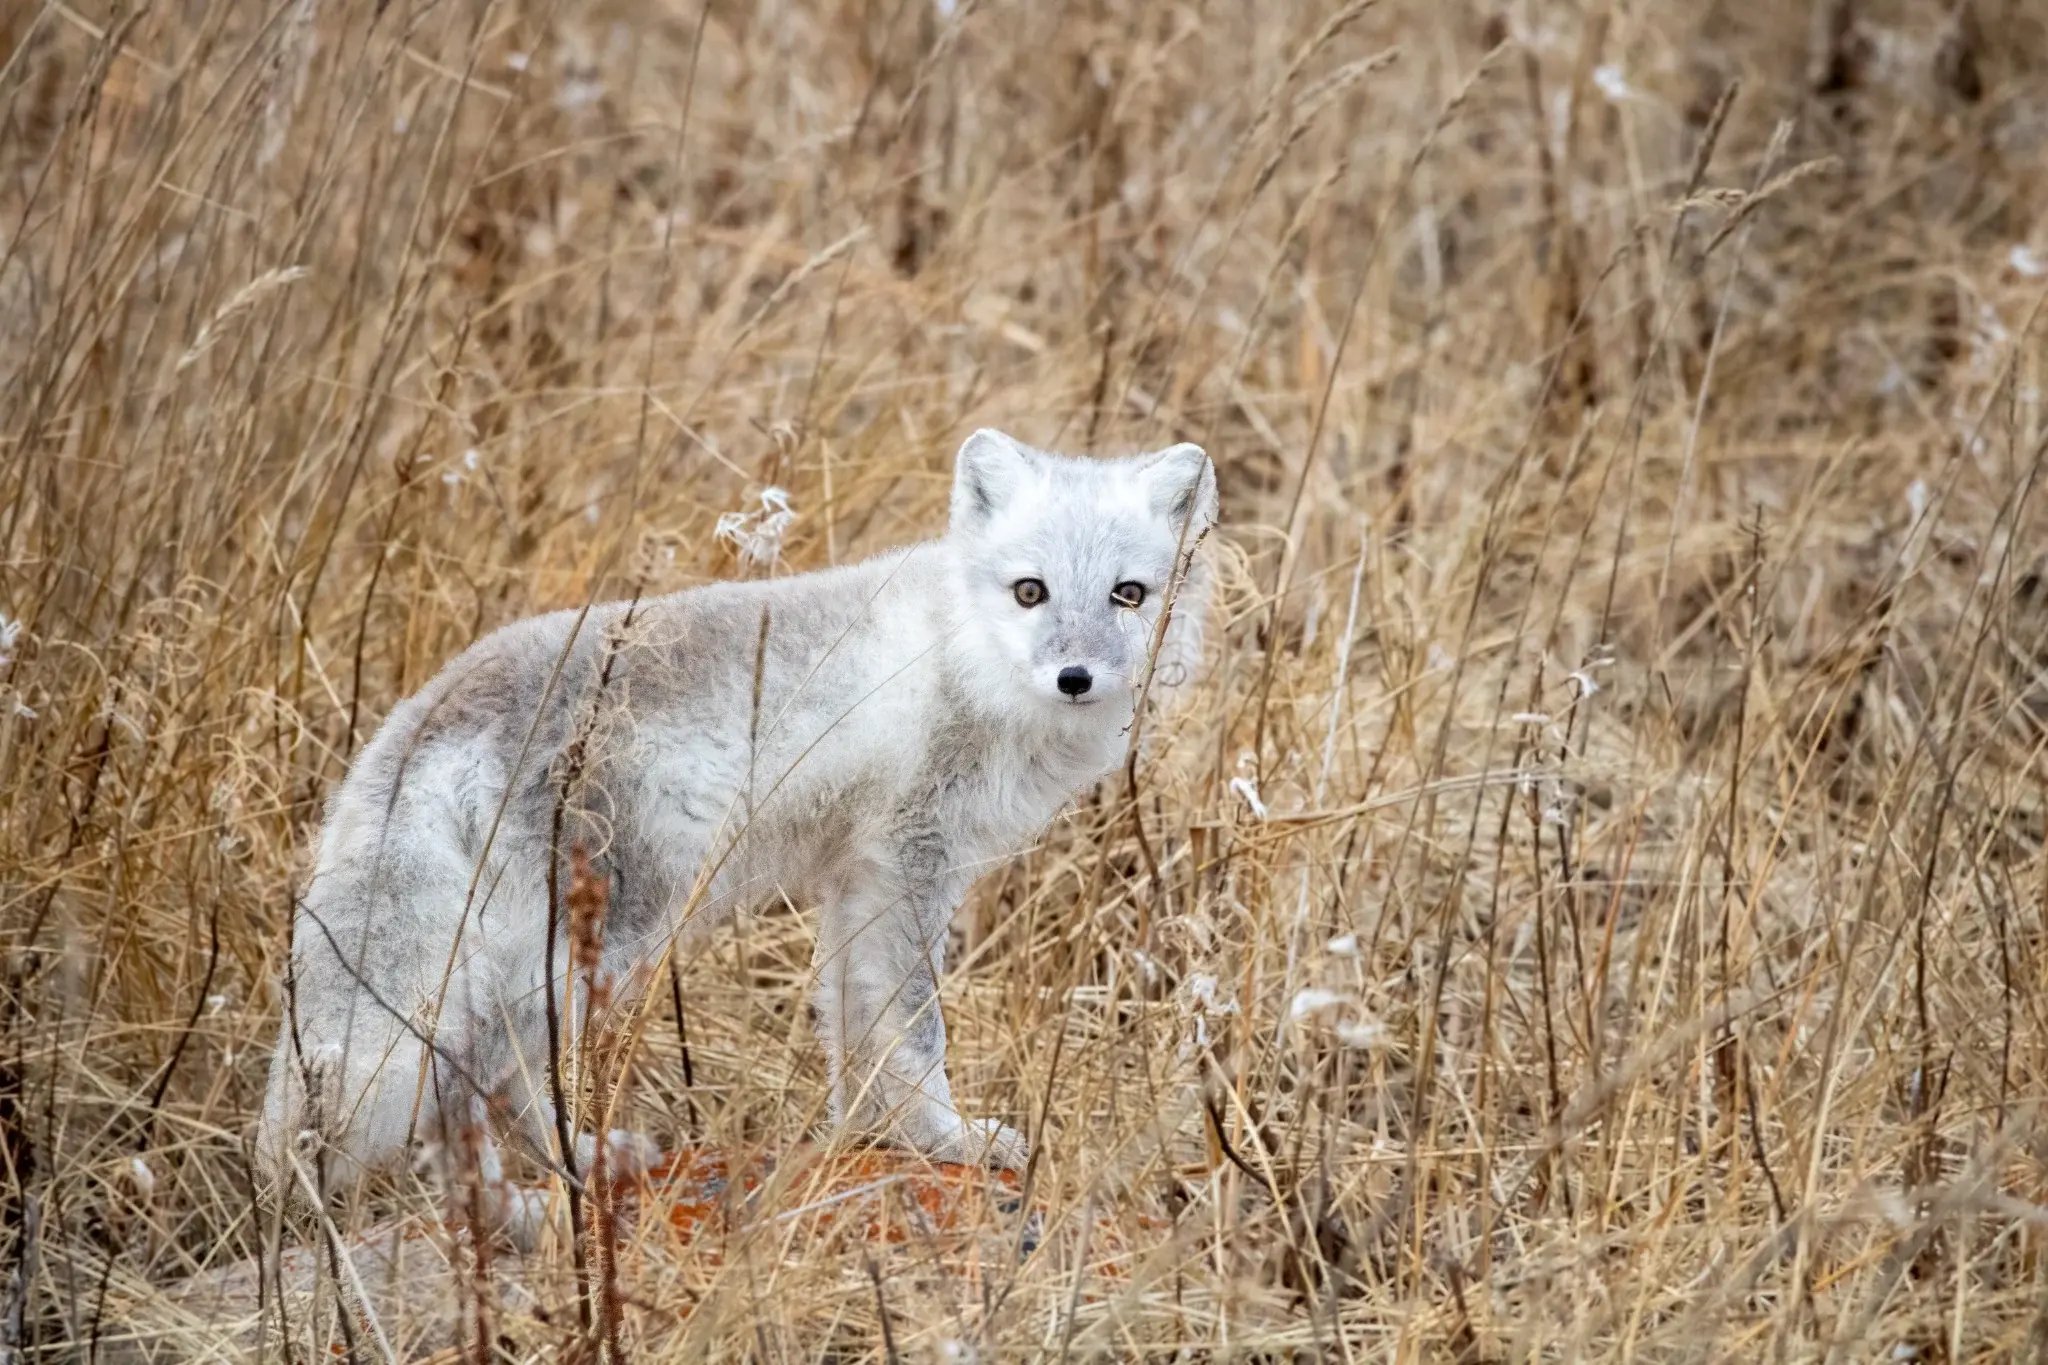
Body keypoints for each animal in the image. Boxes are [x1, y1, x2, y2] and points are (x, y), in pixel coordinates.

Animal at [255, 428, 1217, 1243]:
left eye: (1128, 595)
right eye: (1030, 592)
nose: (1074, 676)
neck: (962, 654)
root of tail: (431, 706)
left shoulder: (858, 877)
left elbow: (853, 1024)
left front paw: (872, 1135)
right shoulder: (909, 862)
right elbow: (916, 1031)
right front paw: (949, 1137)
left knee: (506, 1076)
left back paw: (581, 1165)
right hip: (602, 940)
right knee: (469, 1080)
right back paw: (517, 1210)